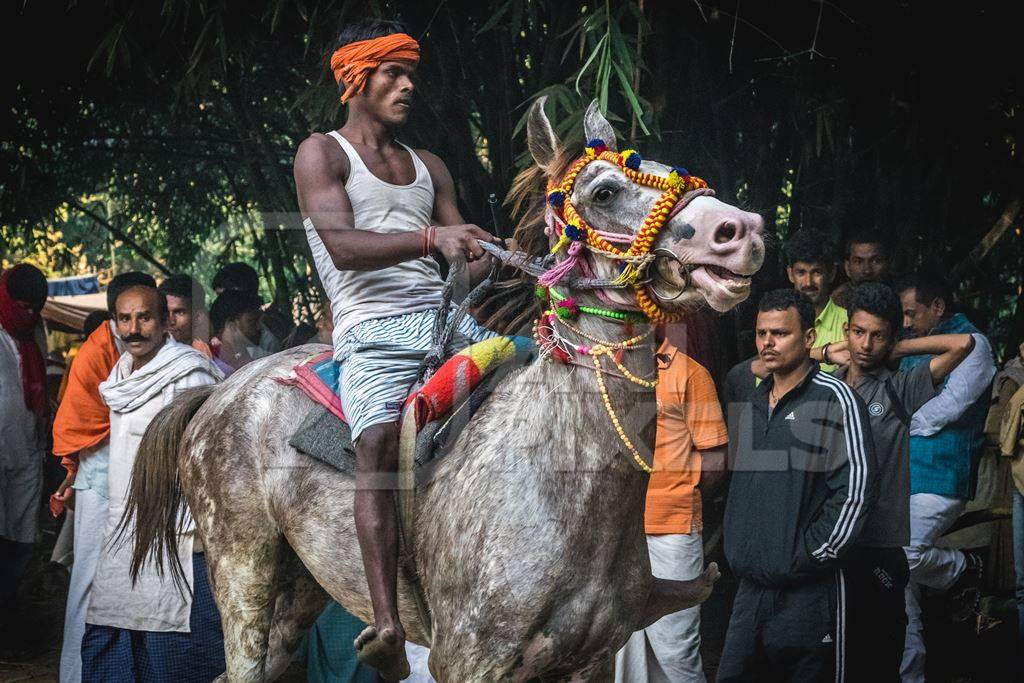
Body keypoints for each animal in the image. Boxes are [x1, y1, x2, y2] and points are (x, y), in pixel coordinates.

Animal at [123, 98, 765, 679]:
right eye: (604, 192)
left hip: (302, 585)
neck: (564, 478)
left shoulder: (591, 661)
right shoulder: (466, 659)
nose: (740, 232)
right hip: (241, 566)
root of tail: (219, 395)